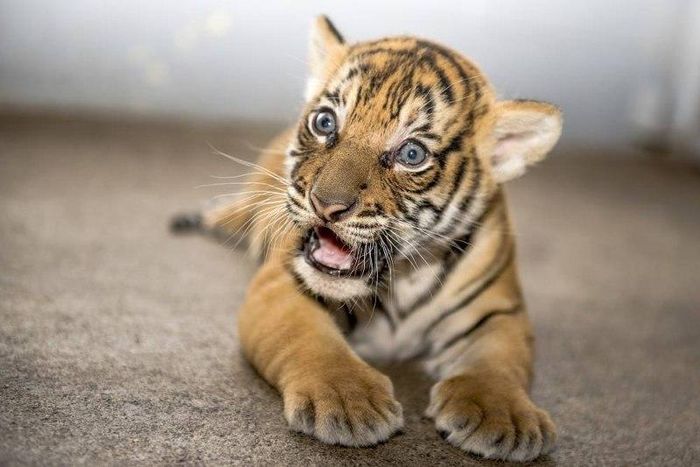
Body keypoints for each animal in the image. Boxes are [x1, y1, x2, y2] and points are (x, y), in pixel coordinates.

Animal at [172, 16, 563, 462]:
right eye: (325, 123)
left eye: (412, 154)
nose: (325, 205)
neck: (406, 275)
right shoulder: (282, 286)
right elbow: (310, 340)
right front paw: (348, 402)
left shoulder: (499, 312)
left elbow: (500, 363)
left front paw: (504, 417)